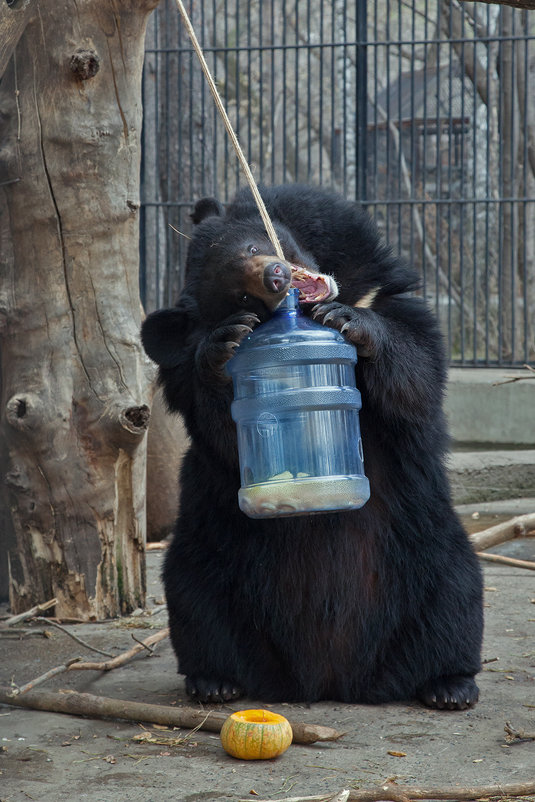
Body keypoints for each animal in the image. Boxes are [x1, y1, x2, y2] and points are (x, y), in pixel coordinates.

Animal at [142, 181, 486, 708]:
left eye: (254, 246)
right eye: (239, 296)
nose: (276, 276)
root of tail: (329, 681)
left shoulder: (384, 288)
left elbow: (416, 369)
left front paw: (348, 319)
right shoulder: (187, 380)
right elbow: (223, 429)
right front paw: (223, 347)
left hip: (428, 553)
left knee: (455, 599)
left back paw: (448, 684)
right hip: (211, 559)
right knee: (194, 601)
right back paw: (215, 681)